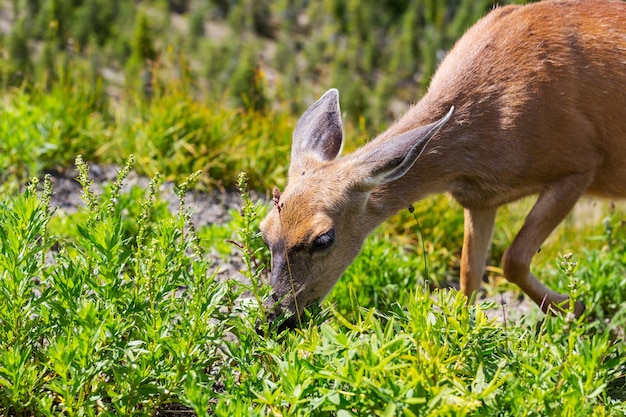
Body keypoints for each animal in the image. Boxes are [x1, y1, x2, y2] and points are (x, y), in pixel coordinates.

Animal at [258, 0, 624, 326]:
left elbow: (513, 259)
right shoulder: (481, 198)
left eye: (323, 239)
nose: (275, 318)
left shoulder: (580, 161)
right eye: (264, 232)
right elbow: (469, 275)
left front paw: (574, 309)